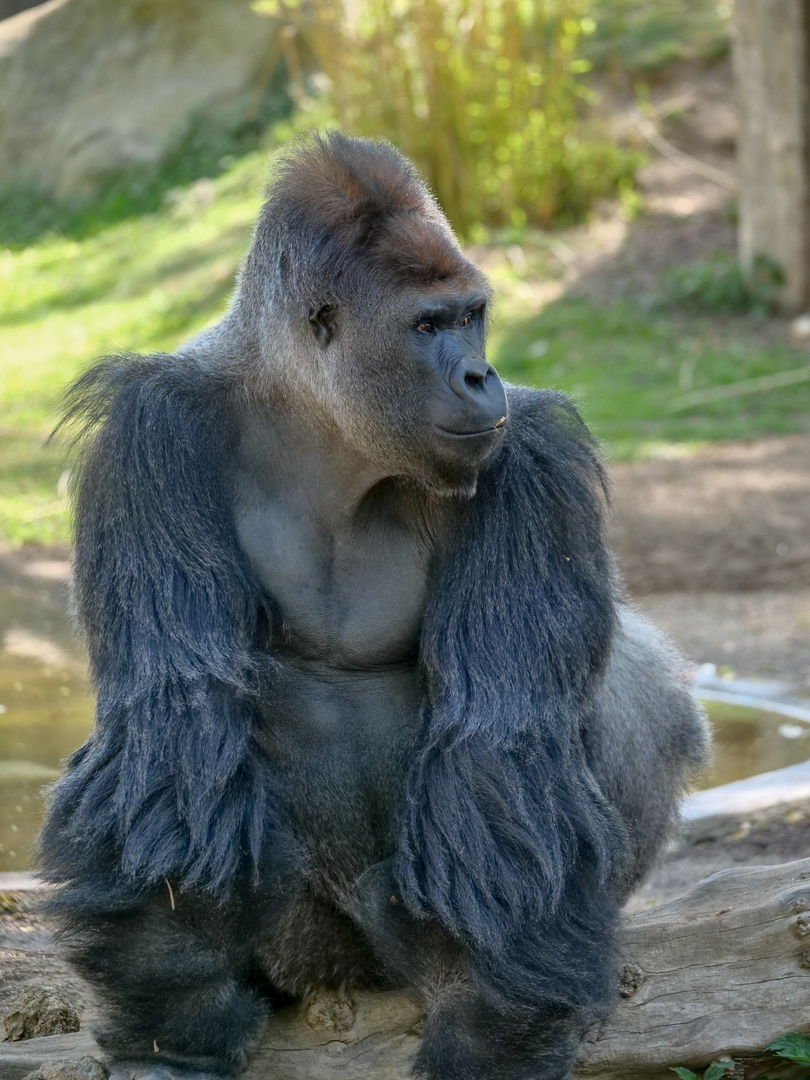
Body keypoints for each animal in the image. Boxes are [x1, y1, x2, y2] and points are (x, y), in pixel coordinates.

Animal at [39, 135, 708, 1080]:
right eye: (427, 327)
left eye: (473, 315)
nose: (480, 374)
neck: (316, 422)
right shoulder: (151, 431)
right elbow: (175, 722)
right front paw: (177, 1015)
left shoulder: (527, 454)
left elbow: (499, 744)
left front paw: (490, 1038)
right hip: (310, 955)